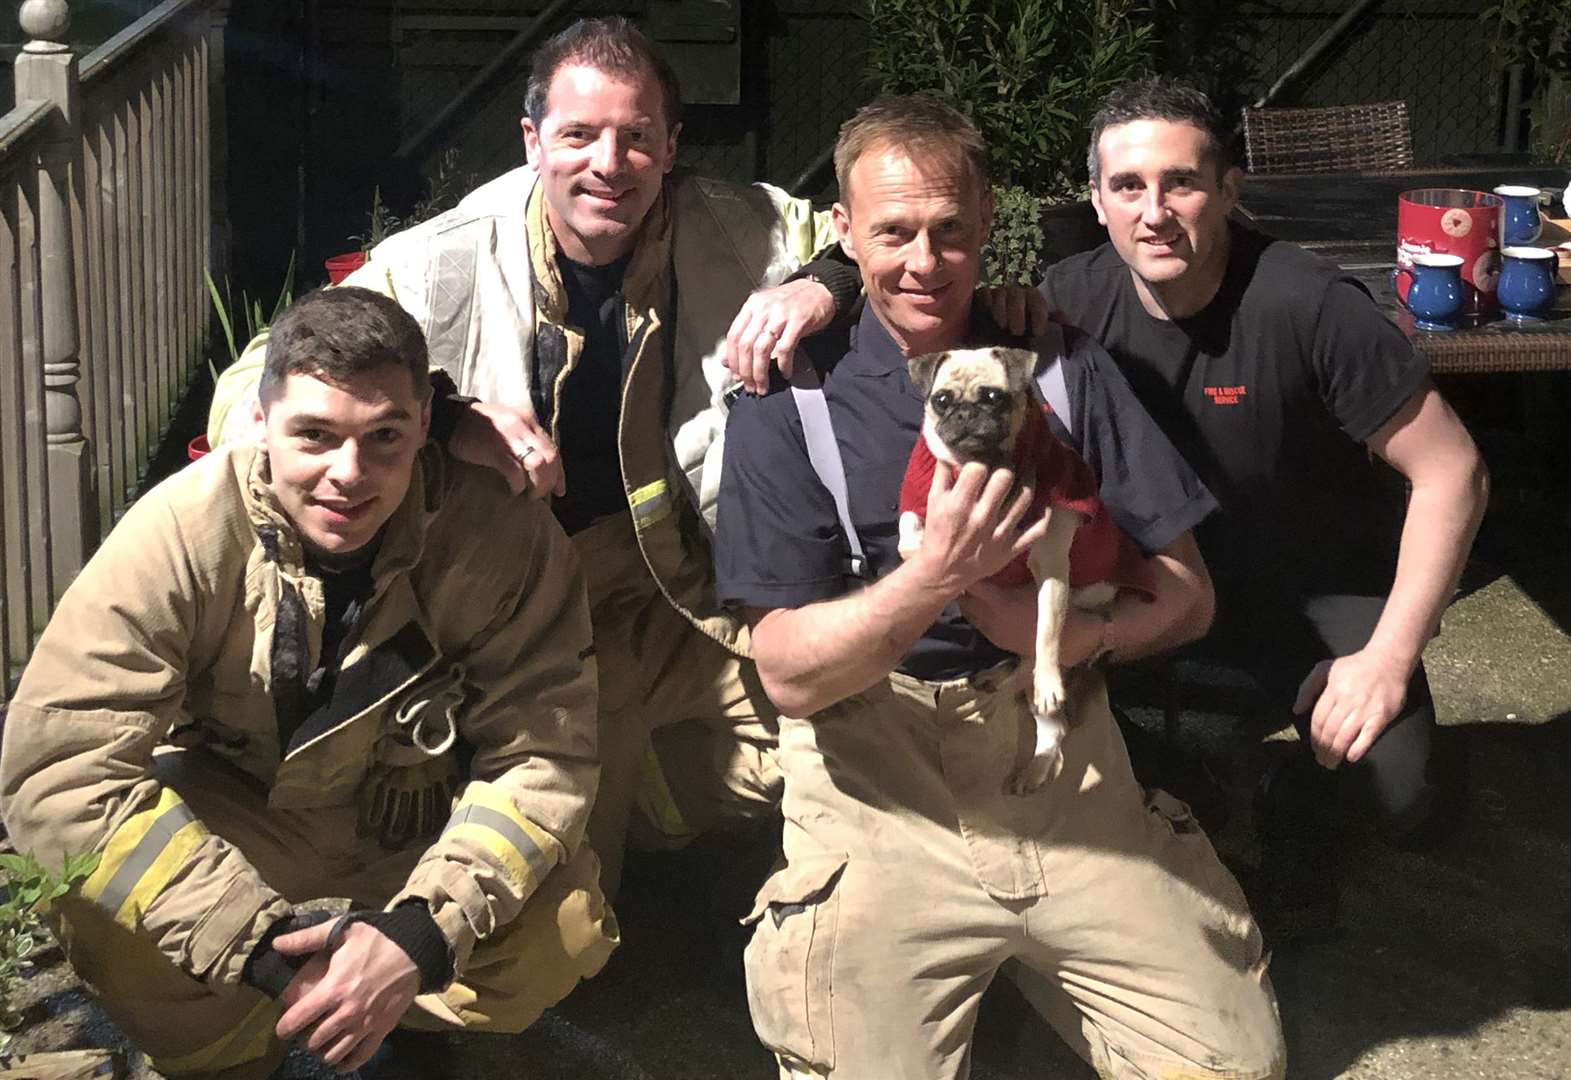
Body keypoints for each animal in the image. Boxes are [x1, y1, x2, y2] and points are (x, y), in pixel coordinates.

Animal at [898, 345, 1156, 795]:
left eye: (992, 397)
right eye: (941, 400)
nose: (964, 413)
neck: (980, 468)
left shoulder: (1051, 568)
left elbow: (1046, 634)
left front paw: (1048, 679)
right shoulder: (916, 508)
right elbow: (909, 541)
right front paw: (940, 568)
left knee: (1051, 718)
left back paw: (1035, 761)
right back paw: (997, 678)